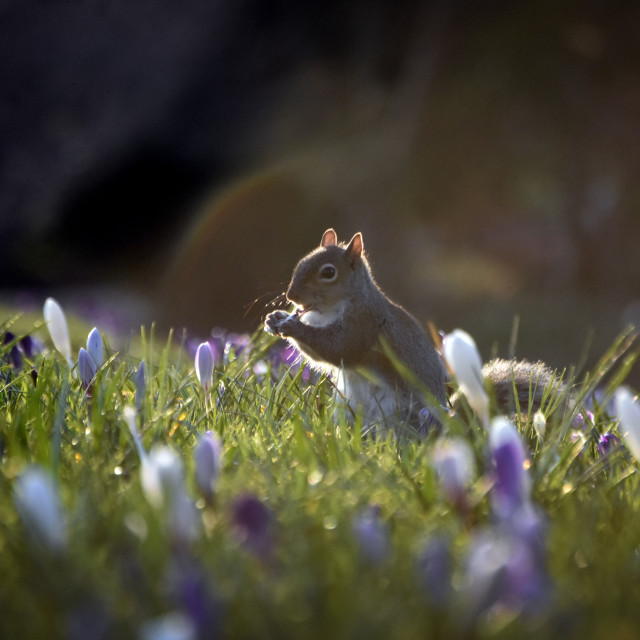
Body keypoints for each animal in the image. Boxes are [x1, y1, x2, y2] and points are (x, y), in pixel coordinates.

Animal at [264, 229, 560, 436]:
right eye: (302, 262)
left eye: (328, 273)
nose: (291, 296)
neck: (330, 310)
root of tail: (449, 427)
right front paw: (275, 318)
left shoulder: (364, 324)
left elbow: (334, 348)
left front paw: (292, 326)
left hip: (401, 414)